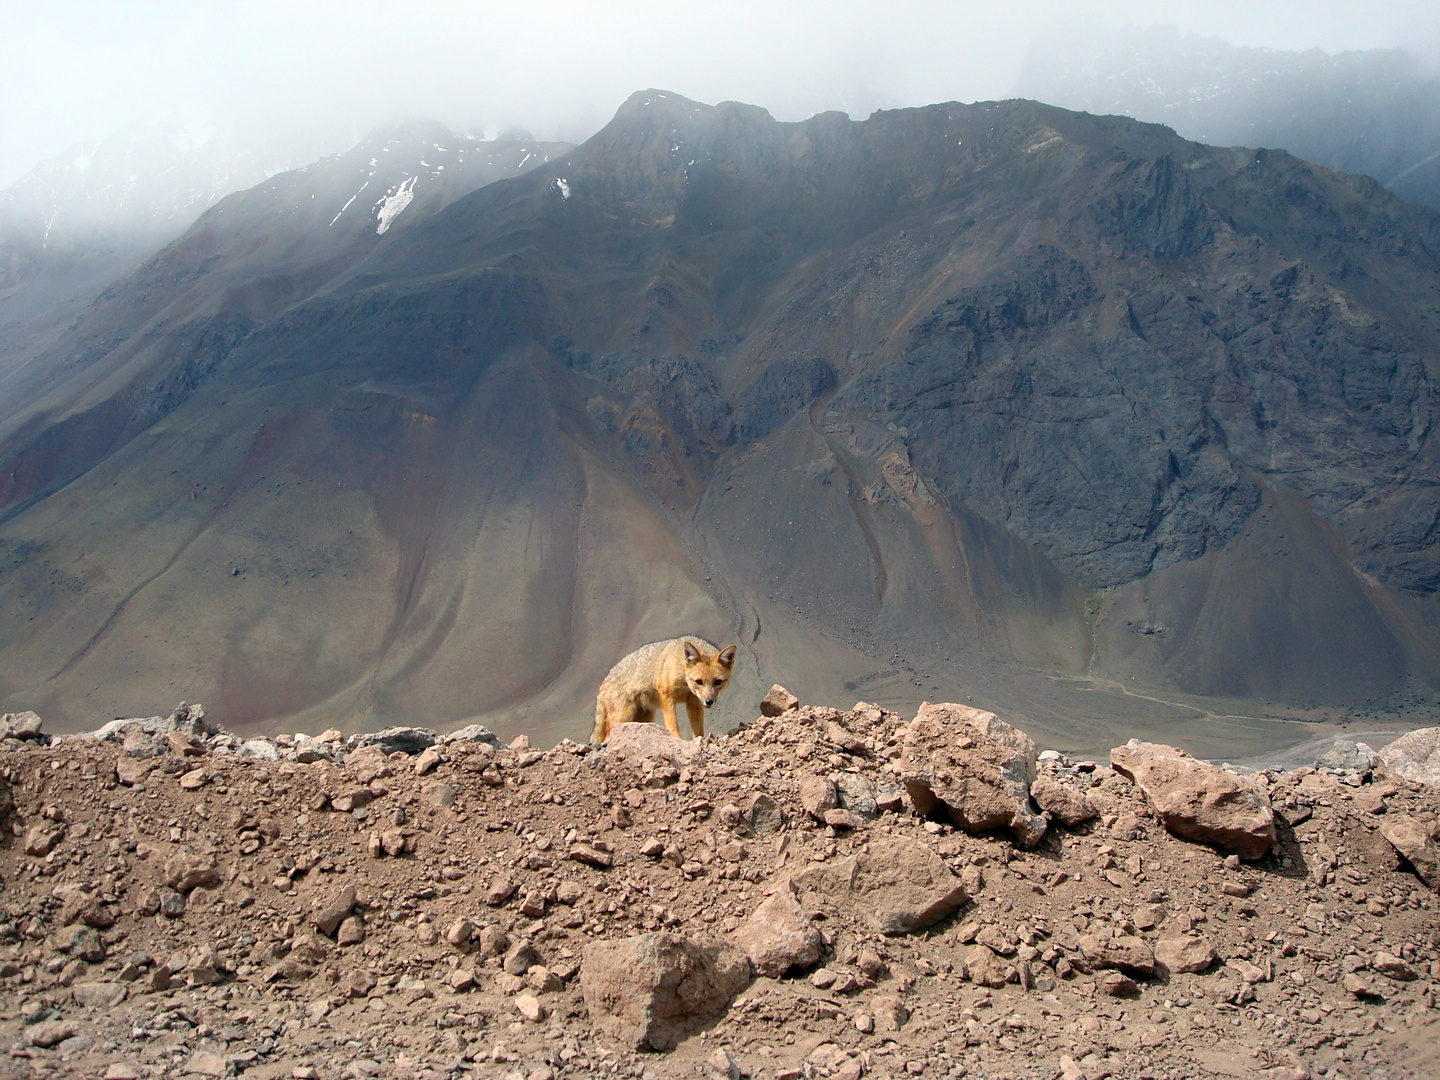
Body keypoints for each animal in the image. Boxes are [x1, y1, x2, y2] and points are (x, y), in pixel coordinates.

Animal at [587, 639, 737, 748]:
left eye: (717, 682)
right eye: (699, 682)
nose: (709, 702)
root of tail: (606, 679)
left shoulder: (693, 703)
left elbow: (698, 730)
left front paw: (700, 741)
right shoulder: (667, 696)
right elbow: (672, 724)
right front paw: (677, 740)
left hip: (645, 717)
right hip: (623, 715)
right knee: (607, 733)